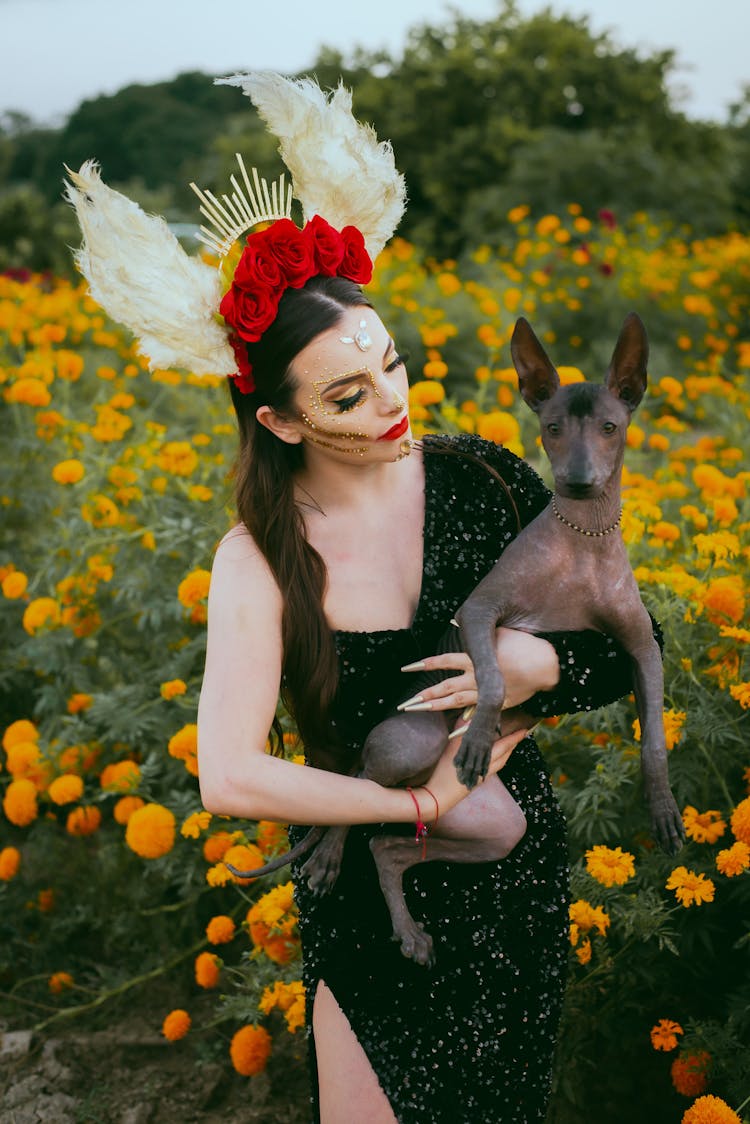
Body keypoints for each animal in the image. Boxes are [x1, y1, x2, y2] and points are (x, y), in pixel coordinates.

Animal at [229, 316, 688, 966]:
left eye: (610, 428)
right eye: (552, 428)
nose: (577, 481)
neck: (583, 539)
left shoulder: (641, 648)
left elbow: (653, 739)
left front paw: (664, 808)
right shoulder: (479, 614)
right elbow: (493, 677)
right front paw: (476, 738)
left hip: (495, 827)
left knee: (390, 847)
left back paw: (409, 931)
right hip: (408, 745)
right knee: (354, 793)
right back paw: (334, 855)